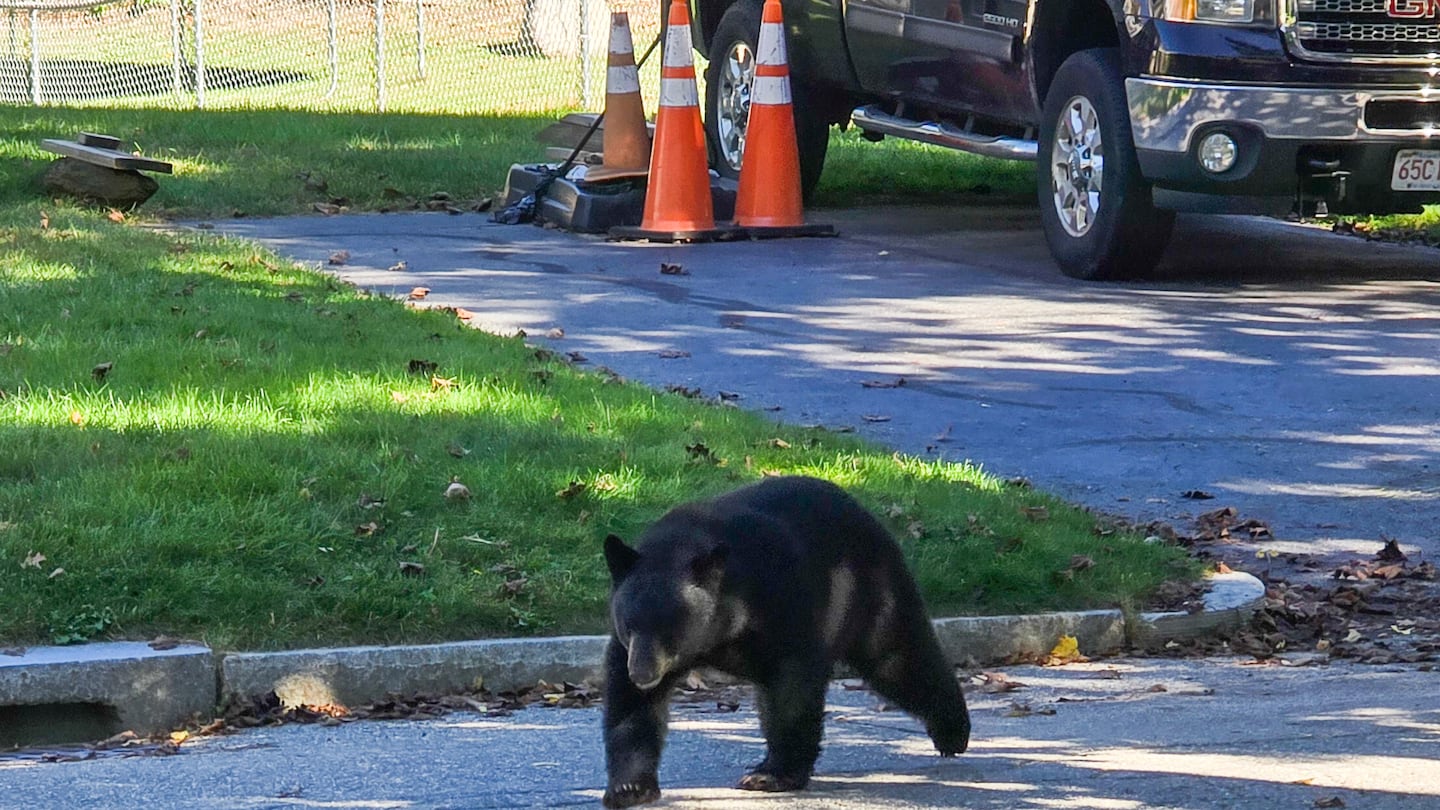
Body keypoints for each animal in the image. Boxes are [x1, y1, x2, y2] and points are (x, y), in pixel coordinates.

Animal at [596, 469, 967, 801]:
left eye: (671, 629)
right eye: (629, 625)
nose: (643, 673)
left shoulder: (782, 602)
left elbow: (793, 687)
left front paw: (772, 775)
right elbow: (630, 707)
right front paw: (629, 787)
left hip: (870, 588)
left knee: (897, 657)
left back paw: (953, 732)